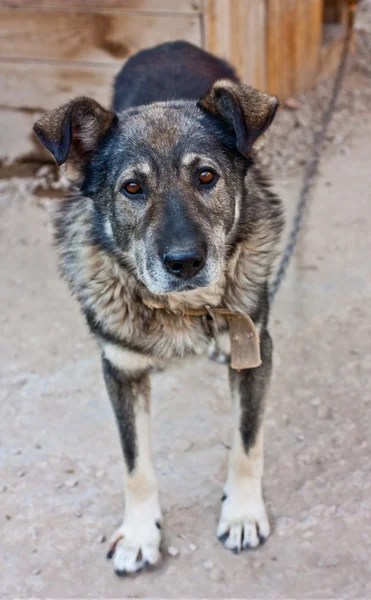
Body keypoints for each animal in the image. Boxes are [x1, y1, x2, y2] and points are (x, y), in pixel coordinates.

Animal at [34, 39, 284, 576]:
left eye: (206, 176)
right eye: (132, 188)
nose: (185, 263)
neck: (183, 307)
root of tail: (174, 43)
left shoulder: (255, 350)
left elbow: (247, 442)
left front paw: (243, 514)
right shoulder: (119, 370)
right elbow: (136, 465)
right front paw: (138, 534)